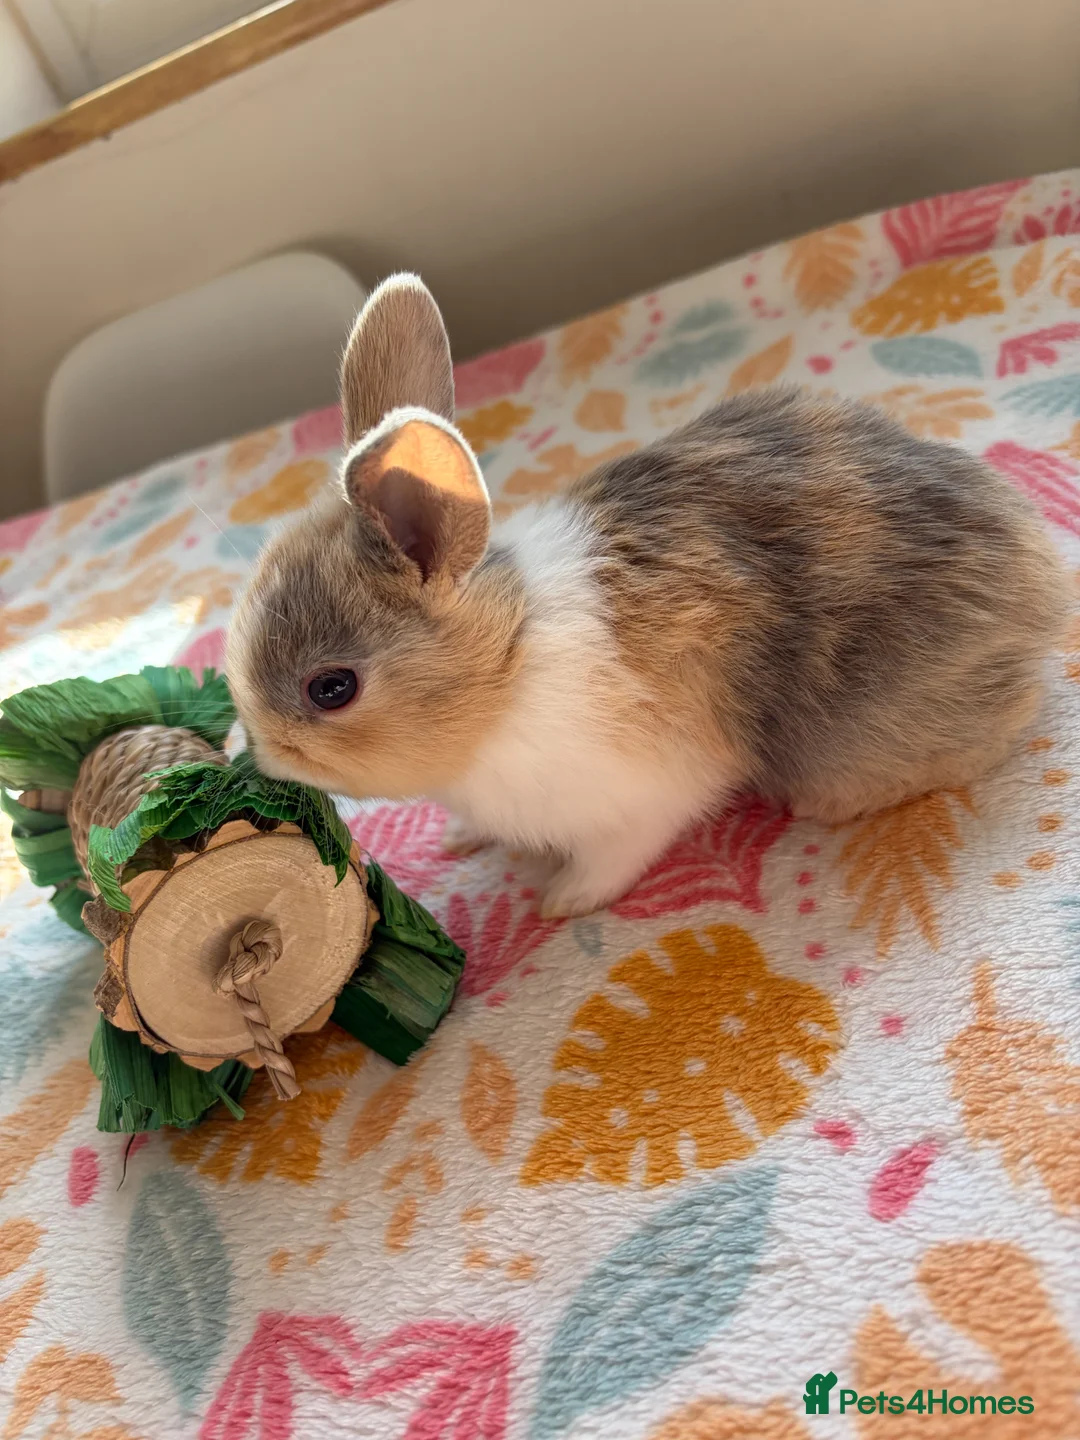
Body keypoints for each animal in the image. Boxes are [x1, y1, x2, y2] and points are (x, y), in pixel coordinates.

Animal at [226, 273, 1069, 918]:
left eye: (332, 688)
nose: (263, 761)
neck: (508, 662)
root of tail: (1042, 588)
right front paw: (464, 841)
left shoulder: (637, 798)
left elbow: (614, 856)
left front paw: (563, 903)